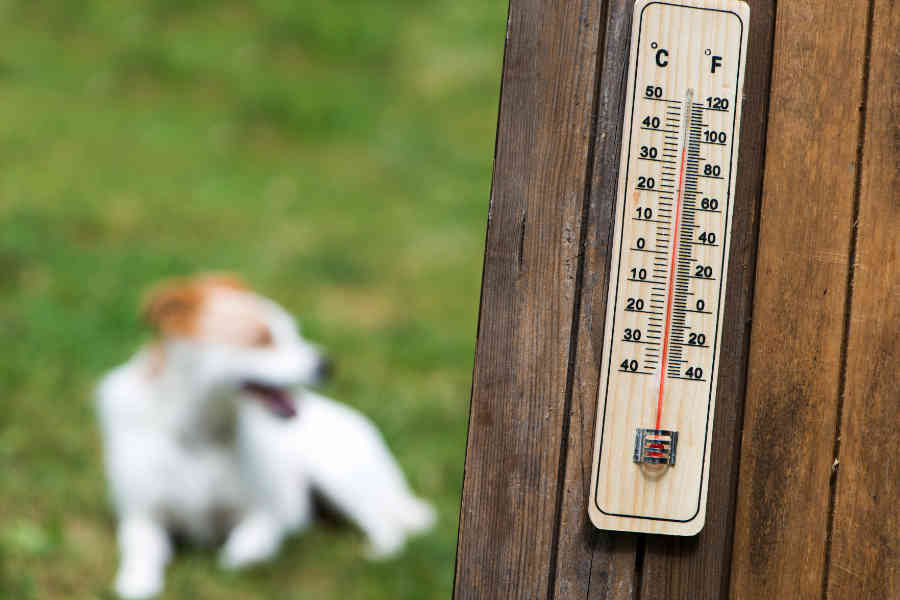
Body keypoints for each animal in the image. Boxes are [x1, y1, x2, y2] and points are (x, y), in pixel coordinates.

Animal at [95, 274, 436, 596]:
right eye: (262, 339)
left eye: (293, 332)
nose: (327, 365)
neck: (199, 434)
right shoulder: (140, 515)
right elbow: (142, 551)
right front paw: (136, 583)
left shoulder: (268, 512)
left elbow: (243, 548)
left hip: (342, 478)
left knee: (386, 523)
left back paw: (375, 553)